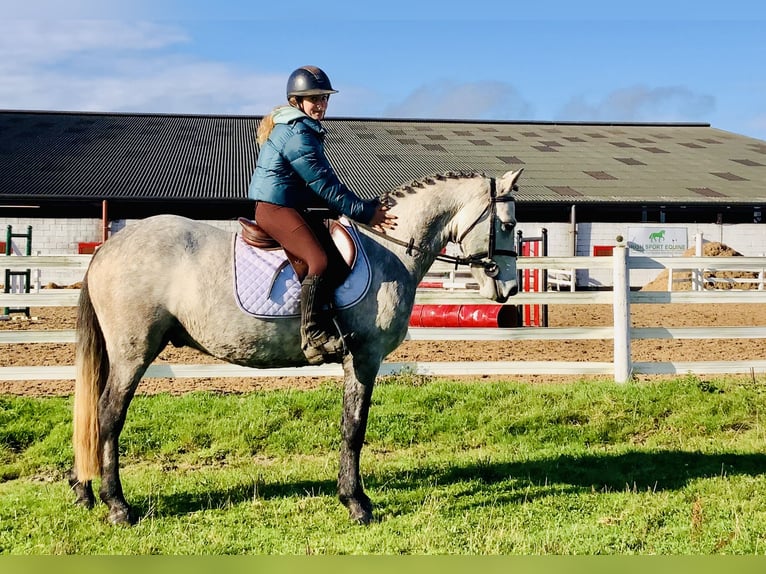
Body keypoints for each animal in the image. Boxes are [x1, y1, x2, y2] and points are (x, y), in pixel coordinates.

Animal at [69, 168, 523, 525]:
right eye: (507, 224)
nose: (511, 288)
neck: (390, 251)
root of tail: (108, 247)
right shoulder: (364, 358)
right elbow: (354, 428)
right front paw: (357, 503)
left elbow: (350, 427)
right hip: (133, 352)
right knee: (108, 415)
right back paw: (118, 507)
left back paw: (84, 490)